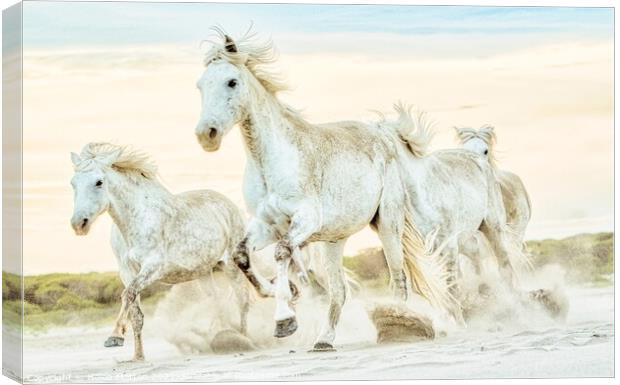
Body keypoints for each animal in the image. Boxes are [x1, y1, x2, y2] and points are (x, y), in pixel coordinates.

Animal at [72, 142, 254, 360]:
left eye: (99, 182)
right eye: (73, 183)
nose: (79, 224)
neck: (136, 221)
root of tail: (228, 204)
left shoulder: (153, 267)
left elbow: (127, 294)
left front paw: (115, 337)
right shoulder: (127, 272)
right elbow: (135, 311)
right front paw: (137, 355)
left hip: (231, 265)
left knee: (242, 300)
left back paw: (244, 340)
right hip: (204, 272)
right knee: (217, 300)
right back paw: (223, 336)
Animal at [196, 30, 452, 348]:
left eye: (231, 81)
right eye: (200, 86)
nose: (206, 135)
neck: (272, 163)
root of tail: (382, 132)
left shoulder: (305, 221)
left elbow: (281, 253)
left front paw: (285, 320)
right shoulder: (267, 224)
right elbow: (241, 256)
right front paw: (285, 293)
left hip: (387, 224)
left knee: (398, 278)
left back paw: (401, 324)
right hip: (334, 240)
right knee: (339, 290)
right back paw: (324, 339)